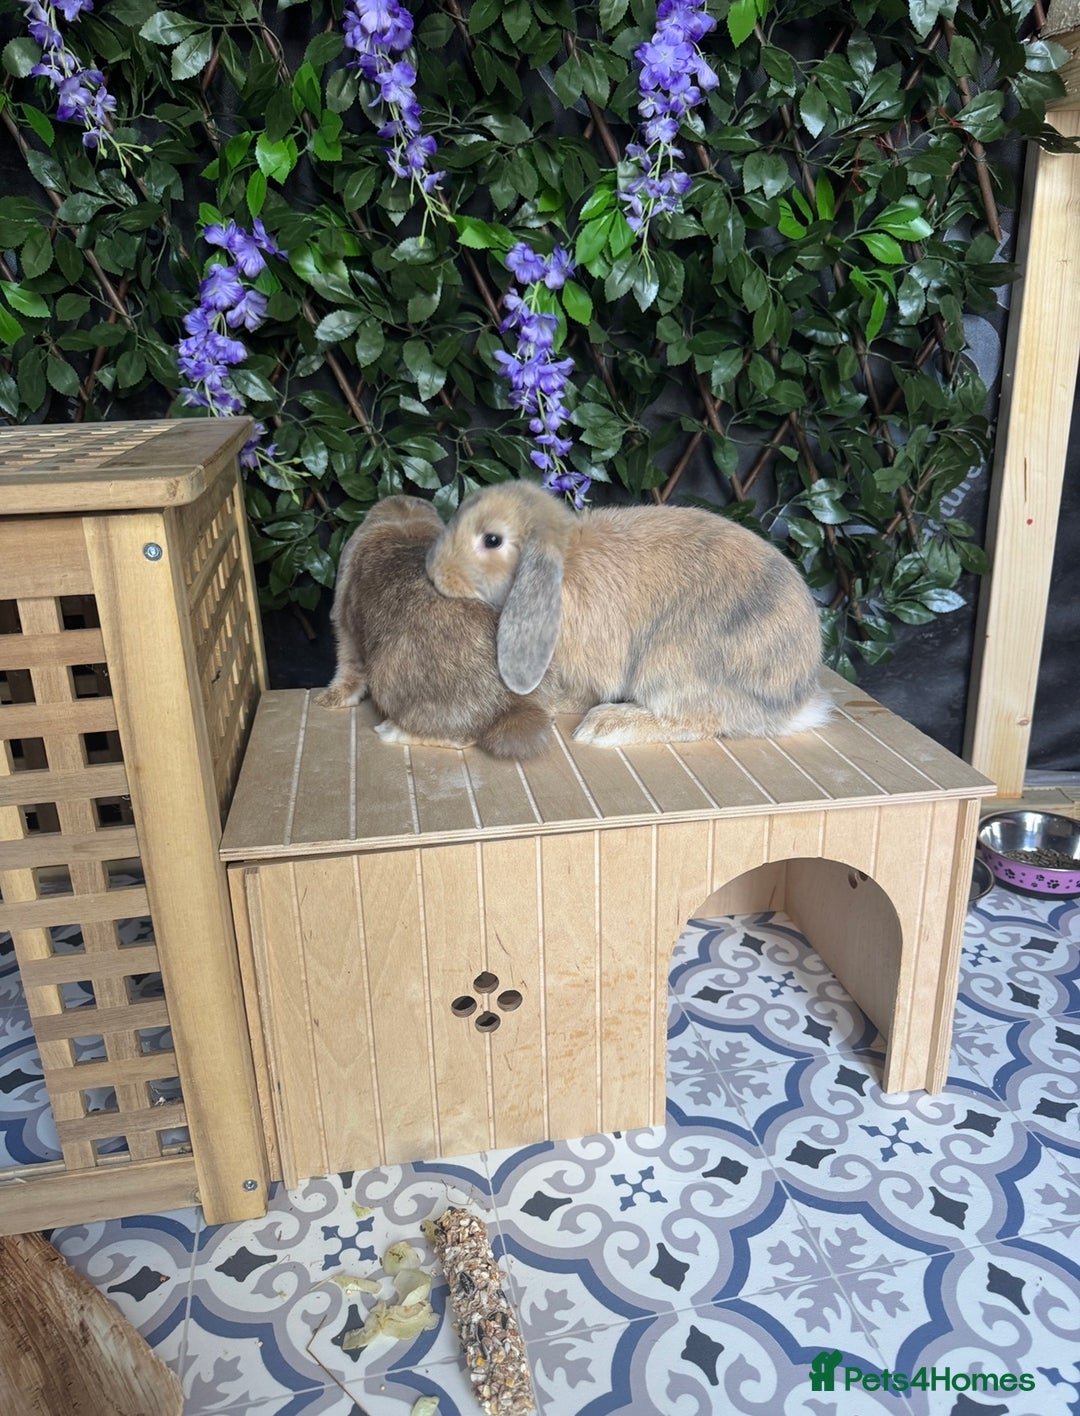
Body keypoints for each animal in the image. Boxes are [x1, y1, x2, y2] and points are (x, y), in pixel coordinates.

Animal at [316, 495, 555, 758]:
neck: (404, 521)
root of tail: (507, 703)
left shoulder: (346, 631)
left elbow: (348, 667)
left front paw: (329, 698)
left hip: (388, 676)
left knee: (461, 738)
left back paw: (392, 731)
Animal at [424, 479, 832, 748]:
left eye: (491, 540)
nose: (433, 569)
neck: (566, 566)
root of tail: (794, 703)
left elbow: (580, 694)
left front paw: (554, 702)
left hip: (670, 668)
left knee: (698, 721)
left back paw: (605, 726)